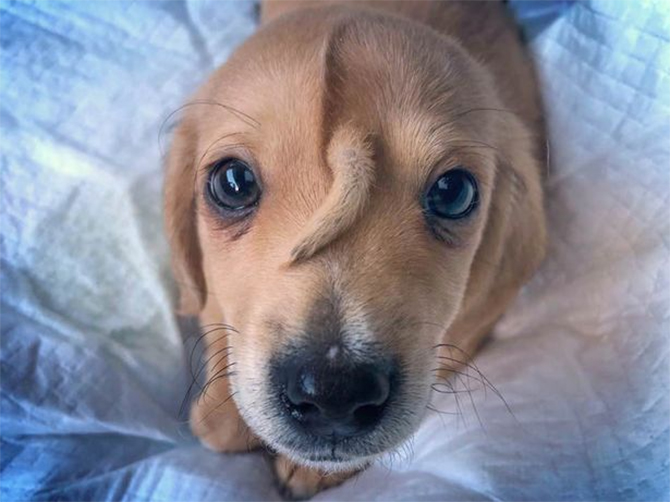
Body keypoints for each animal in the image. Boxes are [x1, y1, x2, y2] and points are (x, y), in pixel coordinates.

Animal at [165, 0, 548, 498]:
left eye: (453, 192)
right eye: (233, 182)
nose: (334, 393)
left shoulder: (462, 331)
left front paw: (311, 469)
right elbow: (217, 324)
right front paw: (221, 415)